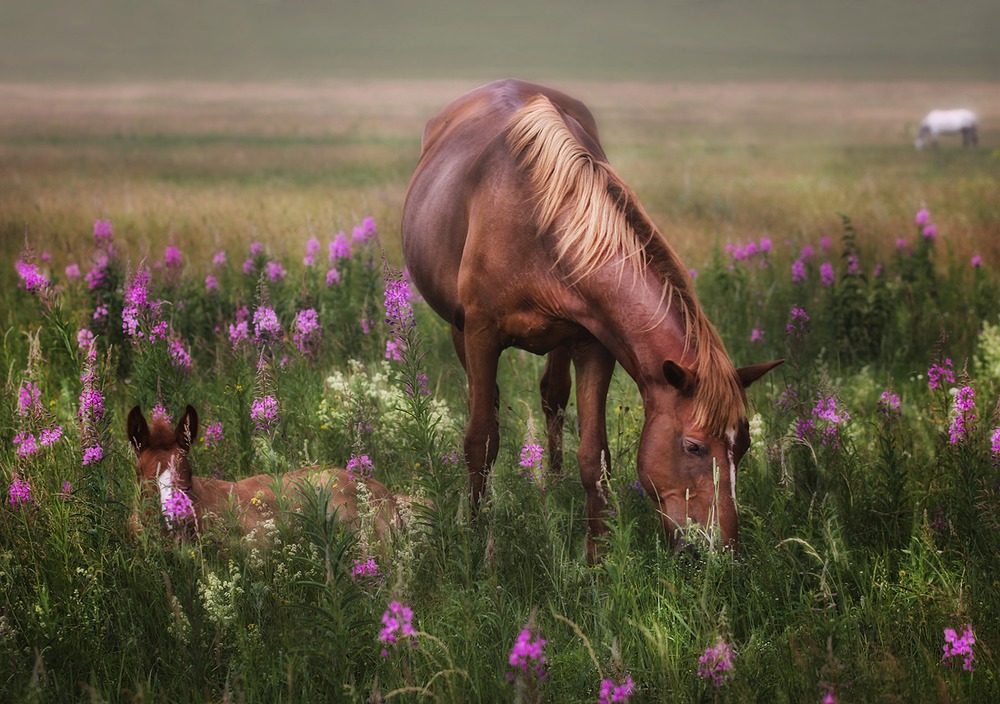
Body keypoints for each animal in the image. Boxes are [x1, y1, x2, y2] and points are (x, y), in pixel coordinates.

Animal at [398, 80, 780, 560]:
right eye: (693, 447)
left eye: (743, 446)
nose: (722, 551)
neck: (540, 221)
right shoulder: (482, 333)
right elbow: (480, 440)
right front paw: (474, 535)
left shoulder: (593, 345)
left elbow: (593, 456)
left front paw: (598, 559)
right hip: (459, 328)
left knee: (553, 396)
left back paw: (554, 482)